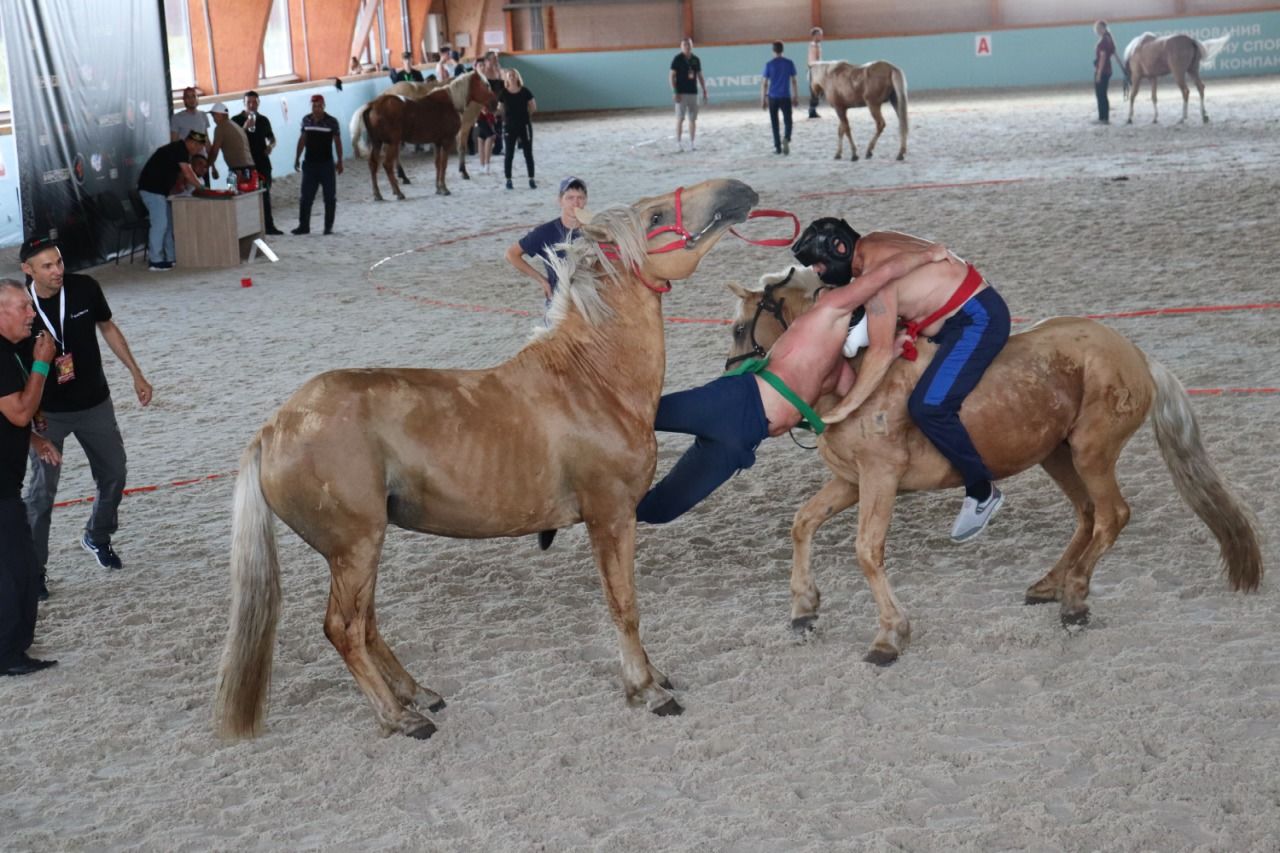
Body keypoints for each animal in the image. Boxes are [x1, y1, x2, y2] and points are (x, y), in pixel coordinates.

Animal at [215, 175, 757, 732]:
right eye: (654, 218)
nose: (736, 188)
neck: (591, 379)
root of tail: (273, 428)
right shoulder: (610, 516)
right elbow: (623, 604)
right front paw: (646, 689)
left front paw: (652, 676)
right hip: (355, 547)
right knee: (343, 628)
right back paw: (399, 717)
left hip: (361, 551)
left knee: (366, 625)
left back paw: (418, 693)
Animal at [348, 69, 491, 199]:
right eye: (485, 85)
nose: (493, 102)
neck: (450, 102)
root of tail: (373, 104)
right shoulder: (448, 140)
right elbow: (444, 163)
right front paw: (445, 188)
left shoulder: (437, 142)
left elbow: (437, 163)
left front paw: (438, 188)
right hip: (393, 142)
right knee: (388, 164)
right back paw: (399, 192)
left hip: (378, 142)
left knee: (373, 164)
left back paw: (378, 194)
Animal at [727, 266, 1264, 666]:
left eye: (737, 328)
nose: (736, 383)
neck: (858, 377)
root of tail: (1134, 354)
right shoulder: (850, 481)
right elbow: (803, 523)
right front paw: (803, 609)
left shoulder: (879, 480)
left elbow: (866, 552)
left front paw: (890, 635)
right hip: (1056, 455)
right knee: (1088, 515)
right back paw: (1052, 583)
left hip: (1091, 453)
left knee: (1111, 516)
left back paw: (1075, 599)